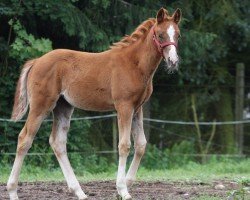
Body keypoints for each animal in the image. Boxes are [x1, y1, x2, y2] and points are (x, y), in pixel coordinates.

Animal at [6, 7, 181, 198]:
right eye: (160, 34)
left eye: (178, 35)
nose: (173, 61)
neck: (134, 64)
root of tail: (36, 61)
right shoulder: (124, 106)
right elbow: (124, 145)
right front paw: (122, 189)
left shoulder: (137, 108)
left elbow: (141, 145)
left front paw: (126, 184)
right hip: (41, 105)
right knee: (25, 139)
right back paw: (13, 191)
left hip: (63, 106)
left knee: (57, 142)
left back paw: (79, 192)